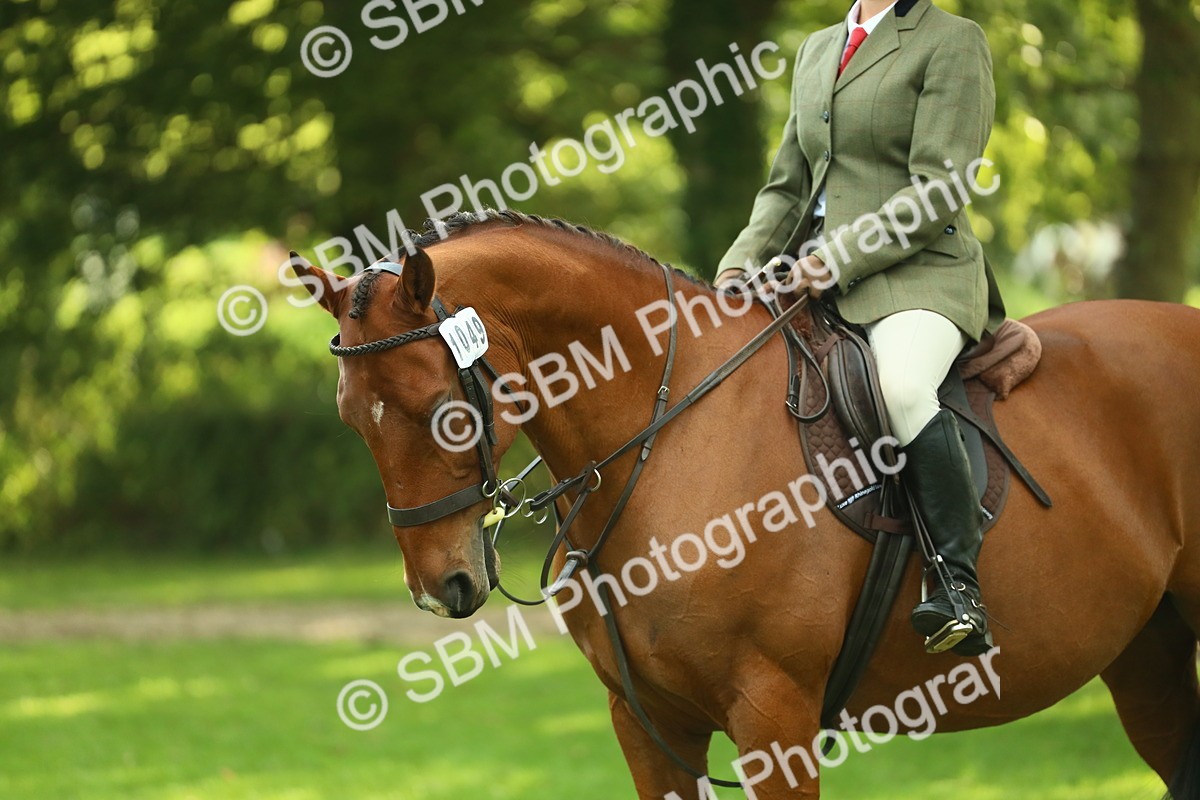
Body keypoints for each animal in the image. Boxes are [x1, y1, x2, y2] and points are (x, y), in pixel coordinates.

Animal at [290, 209, 1200, 798]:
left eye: (440, 411)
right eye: (349, 418)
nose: (439, 587)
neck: (672, 438)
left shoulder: (776, 720)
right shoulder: (648, 725)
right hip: (1148, 653)